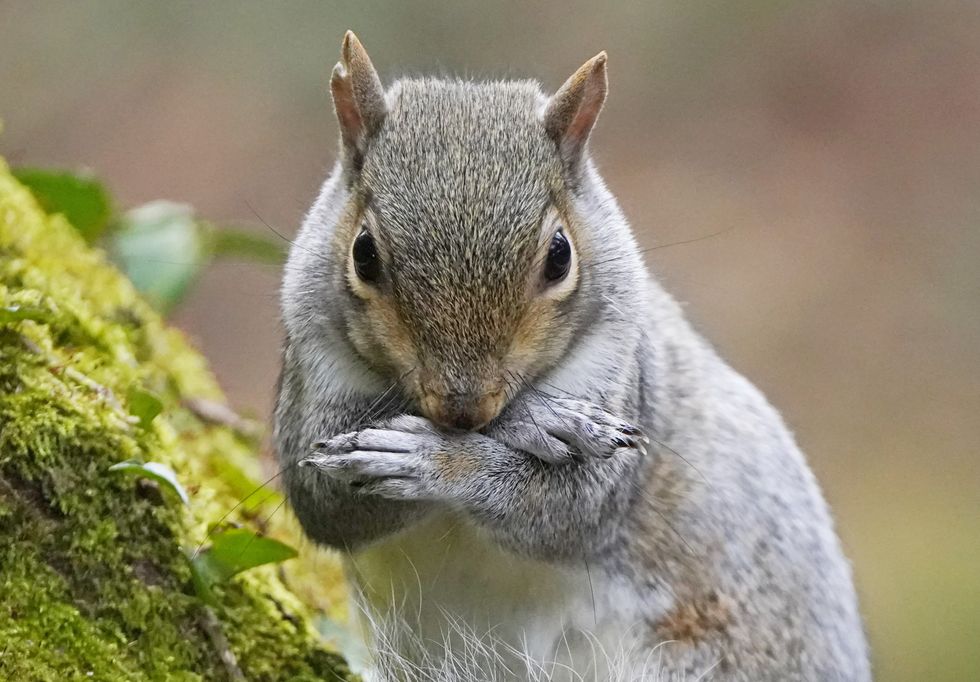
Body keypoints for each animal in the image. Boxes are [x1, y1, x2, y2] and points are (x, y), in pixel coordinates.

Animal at [272, 31, 868, 680]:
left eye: (560, 255)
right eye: (363, 254)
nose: (464, 410)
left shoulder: (624, 379)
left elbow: (574, 509)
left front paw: (485, 441)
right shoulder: (309, 378)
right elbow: (324, 497)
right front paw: (529, 421)